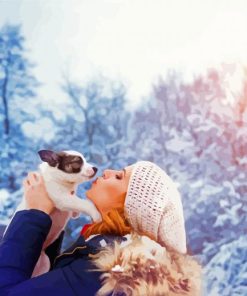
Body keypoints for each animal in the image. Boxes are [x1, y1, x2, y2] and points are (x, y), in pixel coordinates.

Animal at [2, 150, 102, 278]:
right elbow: (84, 203)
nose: (95, 168)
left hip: (44, 263)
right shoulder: (63, 198)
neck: (59, 178)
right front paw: (96, 214)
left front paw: (75, 213)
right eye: (77, 162)